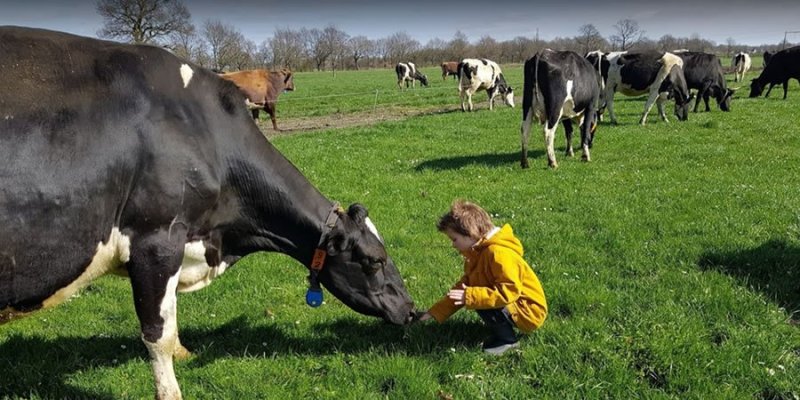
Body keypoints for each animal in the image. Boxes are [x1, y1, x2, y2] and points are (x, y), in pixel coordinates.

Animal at [0, 27, 416, 400]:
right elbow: (157, 333)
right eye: (374, 260)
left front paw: (184, 351)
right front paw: (171, 390)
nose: (411, 309)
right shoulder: (156, 239)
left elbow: (171, 319)